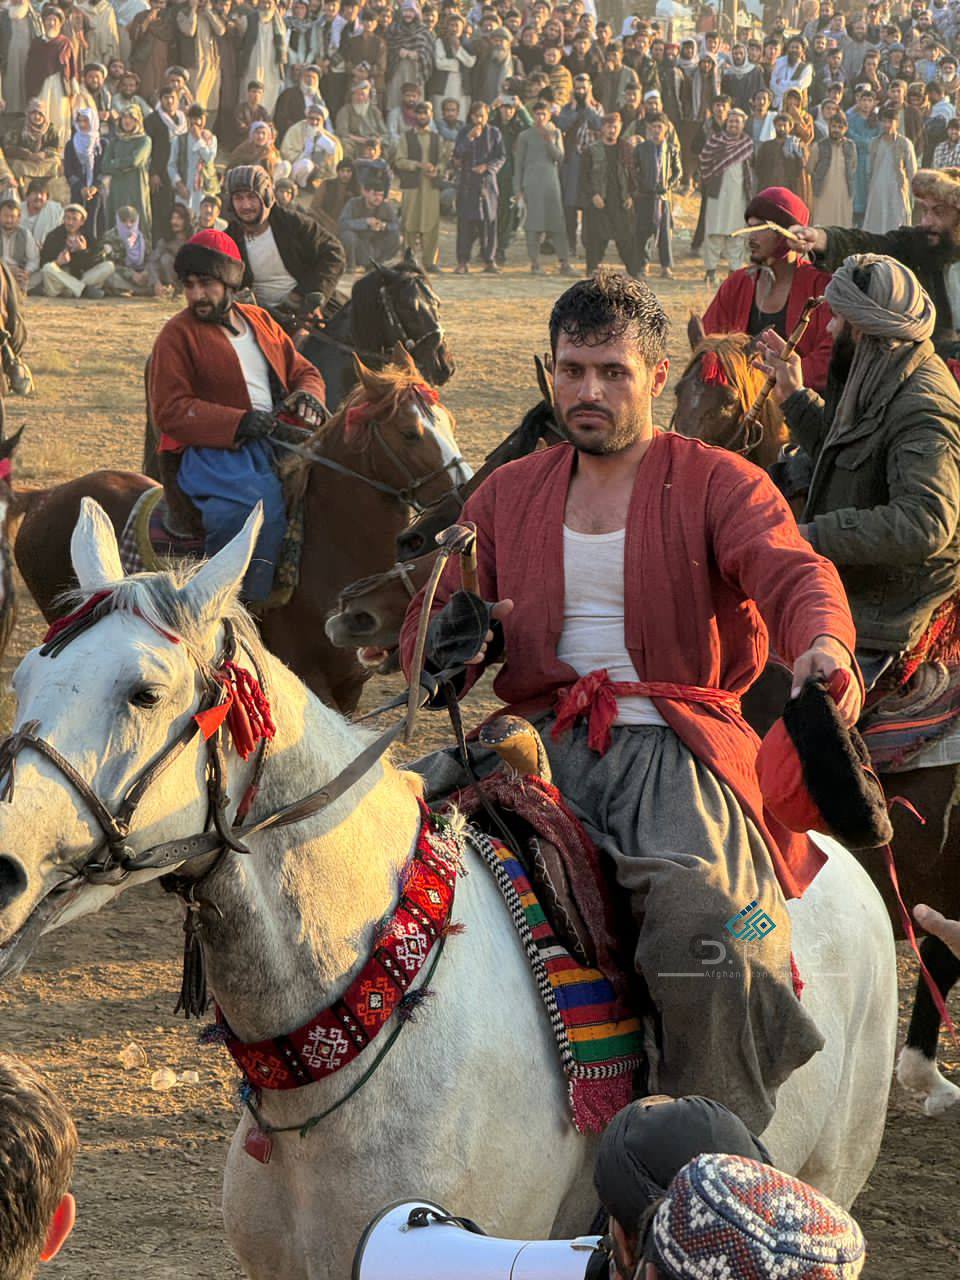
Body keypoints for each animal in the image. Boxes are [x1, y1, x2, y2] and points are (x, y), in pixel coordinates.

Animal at [12, 355, 471, 716]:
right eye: (410, 432)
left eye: (449, 422)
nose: (463, 489)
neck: (323, 549)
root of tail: (45, 496)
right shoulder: (310, 679)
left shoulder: (349, 688)